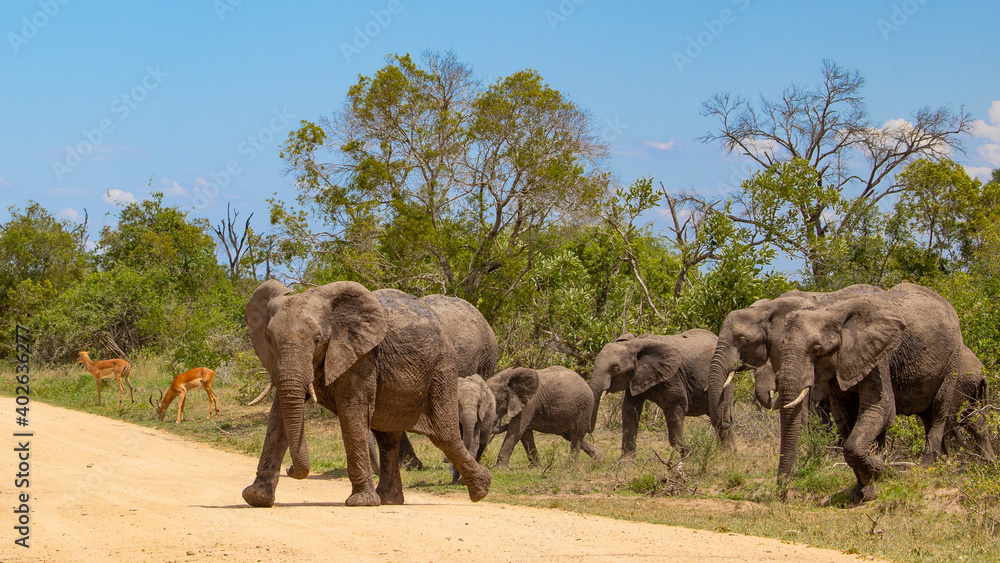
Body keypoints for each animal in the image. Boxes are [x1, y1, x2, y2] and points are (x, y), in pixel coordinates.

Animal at [241, 280, 495, 508]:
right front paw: (256, 498)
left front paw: (361, 502)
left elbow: (352, 412)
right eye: (269, 339)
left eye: (318, 339)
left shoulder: (362, 356)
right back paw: (390, 500)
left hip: (442, 371)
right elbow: (278, 416)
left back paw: (481, 490)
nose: (291, 468)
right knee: (388, 438)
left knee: (445, 435)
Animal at [590, 329, 717, 458]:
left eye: (615, 369)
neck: (634, 344)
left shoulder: (672, 376)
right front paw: (625, 461)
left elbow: (676, 407)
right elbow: (629, 410)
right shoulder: (636, 378)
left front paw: (687, 455)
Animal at [771, 283, 963, 502]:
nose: (783, 495)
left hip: (953, 360)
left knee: (939, 409)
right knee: (926, 416)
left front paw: (878, 467)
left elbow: (881, 409)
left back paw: (925, 468)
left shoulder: (879, 357)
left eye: (817, 350)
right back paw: (938, 463)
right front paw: (863, 491)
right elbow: (844, 417)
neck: (831, 309)